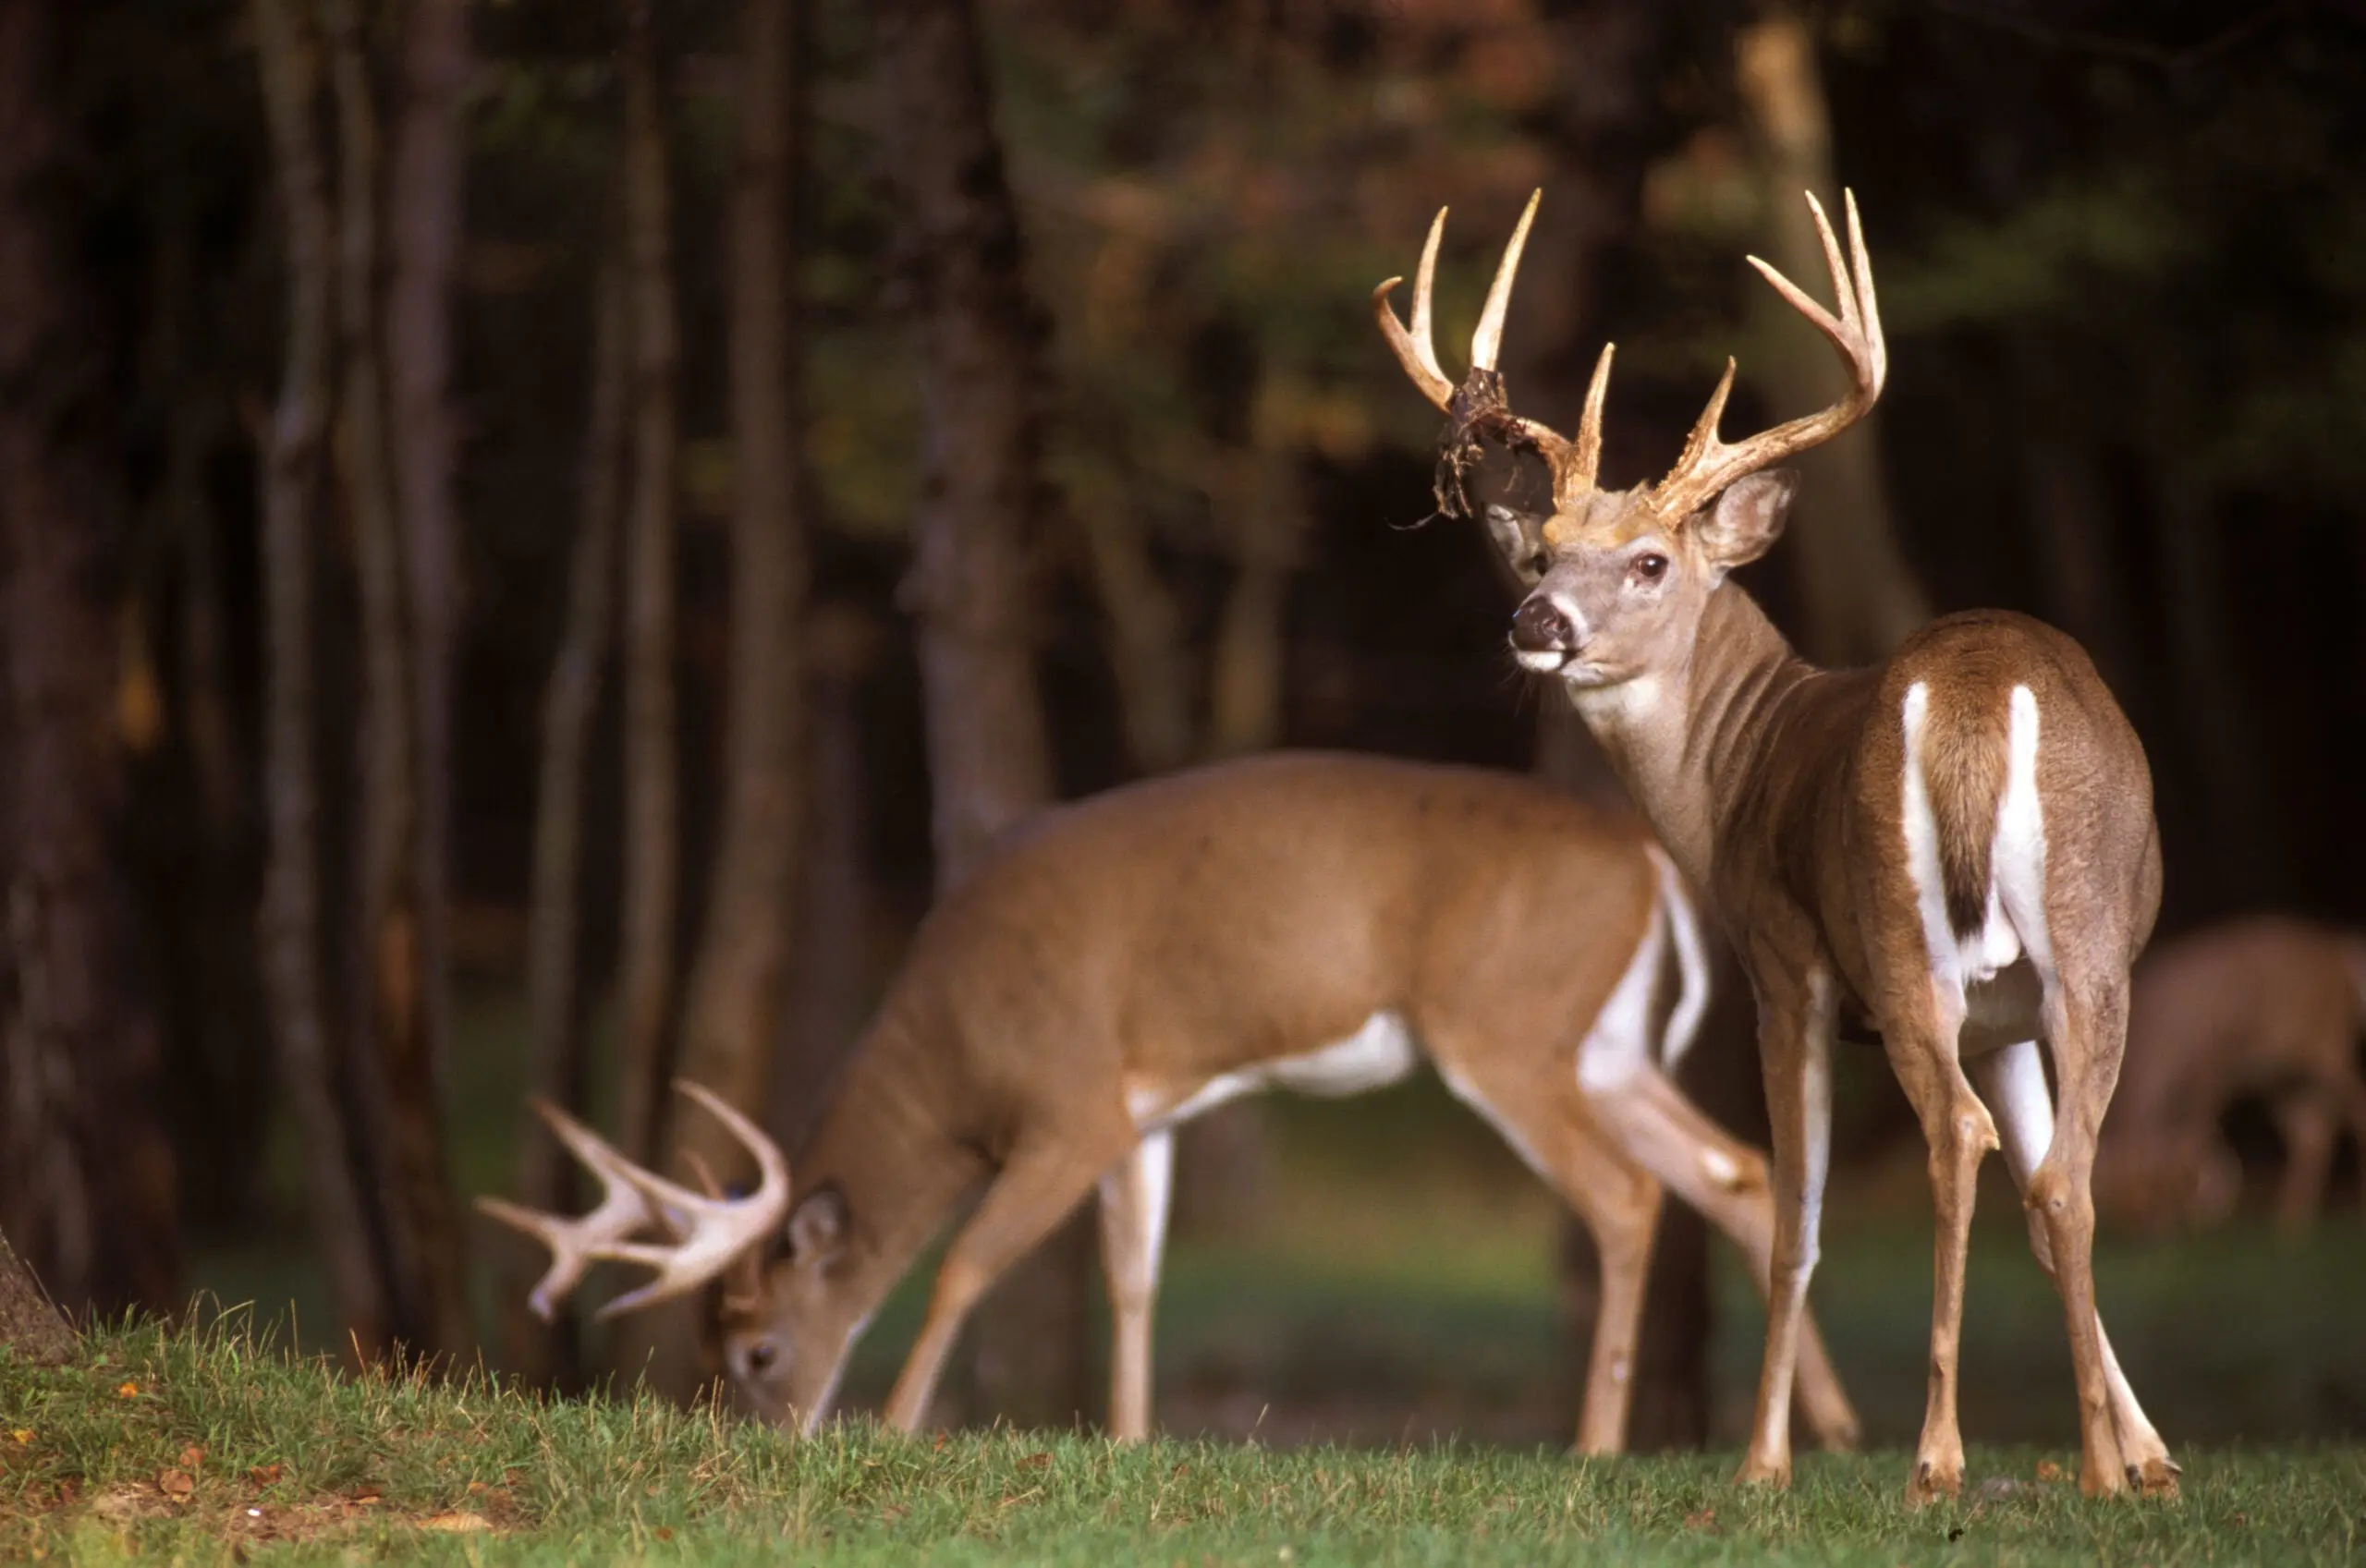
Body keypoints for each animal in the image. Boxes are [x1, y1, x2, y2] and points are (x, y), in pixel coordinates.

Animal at [475, 757, 1845, 1456]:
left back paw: (1599, 1443)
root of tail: (1652, 863)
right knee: (1741, 1170)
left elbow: (970, 1260)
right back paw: (1821, 1431)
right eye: (709, 1345)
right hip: (1604, 1045)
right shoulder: (1148, 1107)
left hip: (1505, 1027)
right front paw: (1131, 1440)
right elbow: (1133, 1274)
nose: (769, 1435)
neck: (956, 1048)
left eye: (757, 1346)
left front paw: (902, 1425)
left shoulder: (1070, 1100)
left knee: (1626, 1196)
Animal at [1372, 190, 2177, 1503]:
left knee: (1950, 1138)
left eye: (1649, 560)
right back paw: (2092, 1470)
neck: (1735, 767)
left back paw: (1934, 1457)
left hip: (1896, 940)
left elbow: (1796, 1209)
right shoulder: (2001, 1013)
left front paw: (1761, 1460)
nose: (1536, 620)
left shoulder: (1780, 964)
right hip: (2085, 941)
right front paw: (2143, 1455)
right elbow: (2045, 1192)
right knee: (2065, 1173)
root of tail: (1973, 690)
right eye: (1541, 549)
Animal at [2101, 912, 2356, 1229]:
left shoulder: (2214, 1060)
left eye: (2148, 1196)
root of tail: (2342, 954)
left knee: (2352, 1108)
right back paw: (2291, 1220)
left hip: (2326, 1049)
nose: (2153, 1228)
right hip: (2282, 1079)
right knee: (2311, 1133)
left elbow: (2196, 1133)